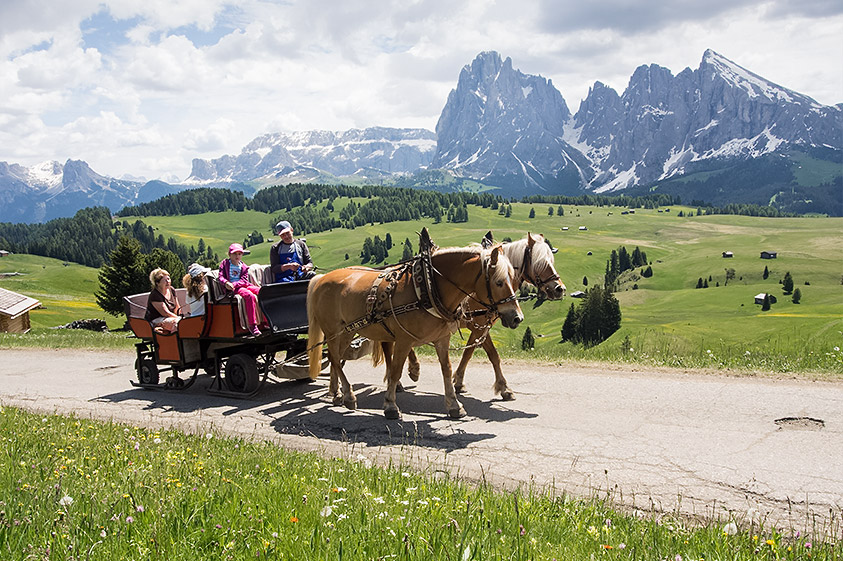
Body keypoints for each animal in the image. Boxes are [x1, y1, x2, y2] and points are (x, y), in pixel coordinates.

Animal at [306, 225, 524, 418]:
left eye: (514, 279)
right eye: (499, 282)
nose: (517, 317)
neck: (427, 288)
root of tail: (322, 278)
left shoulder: (442, 338)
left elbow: (447, 369)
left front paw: (454, 405)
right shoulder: (404, 340)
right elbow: (395, 370)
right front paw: (391, 405)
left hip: (347, 331)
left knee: (336, 357)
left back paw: (338, 394)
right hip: (333, 331)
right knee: (335, 357)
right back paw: (348, 395)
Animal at [404, 231, 568, 398]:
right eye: (540, 262)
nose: (560, 289)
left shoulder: (482, 327)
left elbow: (478, 353)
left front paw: (462, 381)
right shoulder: (479, 326)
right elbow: (482, 354)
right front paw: (501, 387)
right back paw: (413, 370)